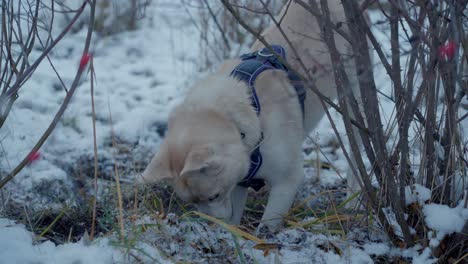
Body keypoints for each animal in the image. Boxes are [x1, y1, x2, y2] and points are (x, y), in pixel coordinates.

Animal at [141, 1, 360, 230]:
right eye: (192, 202)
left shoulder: (287, 180)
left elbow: (267, 224)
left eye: (213, 196)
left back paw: (353, 201)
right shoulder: (239, 181)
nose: (213, 226)